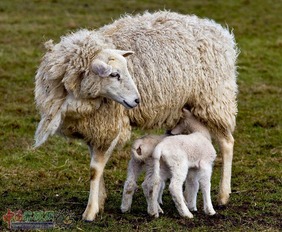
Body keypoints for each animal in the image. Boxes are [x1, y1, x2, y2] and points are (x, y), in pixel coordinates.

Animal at [34, 10, 239, 221]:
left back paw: (223, 195)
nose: (137, 100)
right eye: (114, 74)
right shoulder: (94, 127)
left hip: (214, 99)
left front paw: (90, 211)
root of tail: (217, 29)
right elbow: (95, 167)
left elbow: (95, 169)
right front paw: (100, 201)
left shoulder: (109, 124)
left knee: (226, 142)